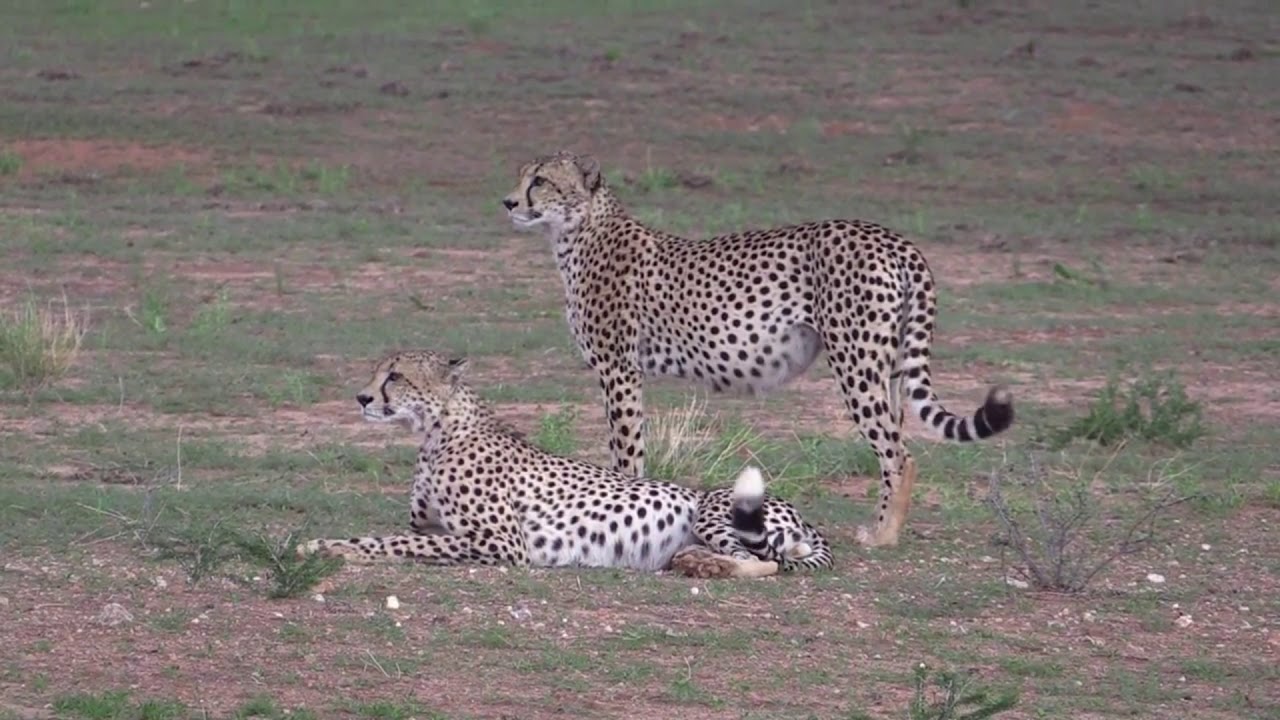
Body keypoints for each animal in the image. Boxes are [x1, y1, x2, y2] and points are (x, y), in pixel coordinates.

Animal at [298, 350, 833, 578]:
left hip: (715, 506)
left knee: (761, 562)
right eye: (376, 372)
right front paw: (315, 544)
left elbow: (392, 545)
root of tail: (808, 518)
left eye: (396, 376)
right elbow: (380, 538)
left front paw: (331, 551)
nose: (362, 397)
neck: (436, 433)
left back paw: (700, 563)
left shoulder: (501, 545)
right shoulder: (430, 528)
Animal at [501, 151, 1015, 548]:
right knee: (897, 443)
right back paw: (883, 526)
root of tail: (891, 237)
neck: (578, 232)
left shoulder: (619, 371)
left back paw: (884, 536)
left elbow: (626, 452)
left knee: (898, 455)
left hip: (856, 364)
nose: (507, 201)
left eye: (540, 180)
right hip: (886, 367)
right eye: (522, 174)